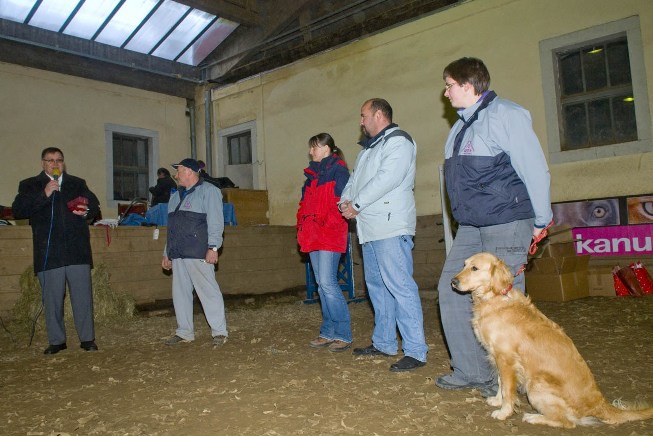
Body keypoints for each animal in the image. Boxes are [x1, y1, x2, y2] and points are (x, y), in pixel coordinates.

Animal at [450, 254, 652, 428]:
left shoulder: (506, 358)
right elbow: (501, 383)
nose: (453, 281)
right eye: (464, 265)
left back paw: (533, 417)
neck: (495, 297)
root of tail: (599, 403)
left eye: (475, 268)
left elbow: (508, 389)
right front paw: (497, 401)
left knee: (567, 423)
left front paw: (503, 412)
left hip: (536, 385)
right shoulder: (499, 357)